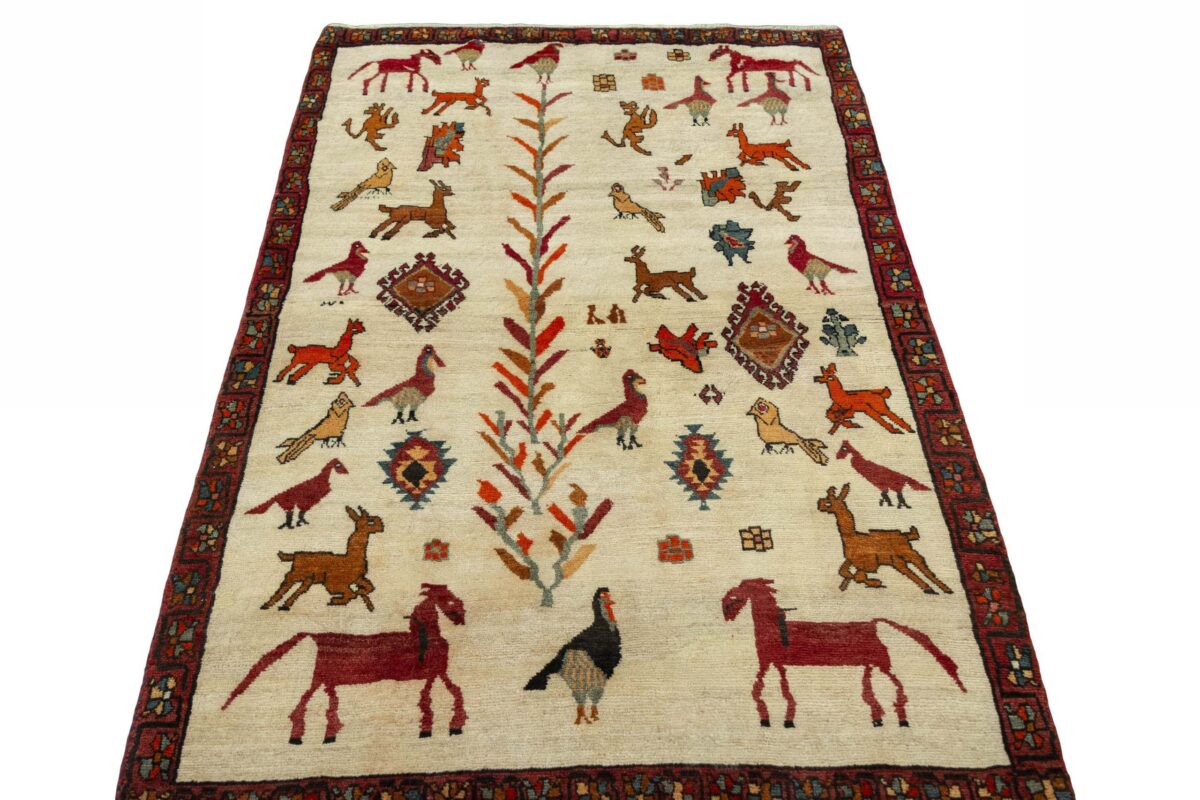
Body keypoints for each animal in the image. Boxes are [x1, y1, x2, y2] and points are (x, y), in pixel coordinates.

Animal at [223, 584, 468, 743]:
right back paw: (297, 737)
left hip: (325, 680)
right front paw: (450, 726)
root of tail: (316, 636)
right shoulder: (436, 672)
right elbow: (450, 693)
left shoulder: (433, 674)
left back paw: (327, 735)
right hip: (320, 677)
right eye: (448, 599)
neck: (426, 635)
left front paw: (436, 727)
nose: (461, 617)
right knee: (304, 703)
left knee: (328, 704)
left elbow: (434, 696)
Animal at [720, 578, 965, 728]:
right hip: (871, 664)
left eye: (744, 586)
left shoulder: (770, 663)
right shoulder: (774, 664)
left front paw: (777, 719)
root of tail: (873, 623)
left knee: (898, 686)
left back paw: (902, 719)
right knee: (869, 691)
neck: (772, 627)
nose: (725, 600)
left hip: (882, 662)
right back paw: (878, 719)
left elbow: (766, 691)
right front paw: (776, 719)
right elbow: (775, 691)